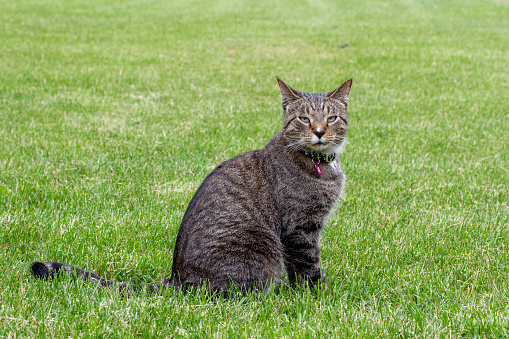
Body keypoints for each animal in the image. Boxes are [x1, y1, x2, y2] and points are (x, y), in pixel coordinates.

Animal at [30, 78, 354, 296]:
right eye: (304, 118)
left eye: (332, 117)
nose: (319, 131)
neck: (319, 164)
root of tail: (178, 279)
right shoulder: (300, 229)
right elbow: (310, 268)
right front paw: (321, 297)